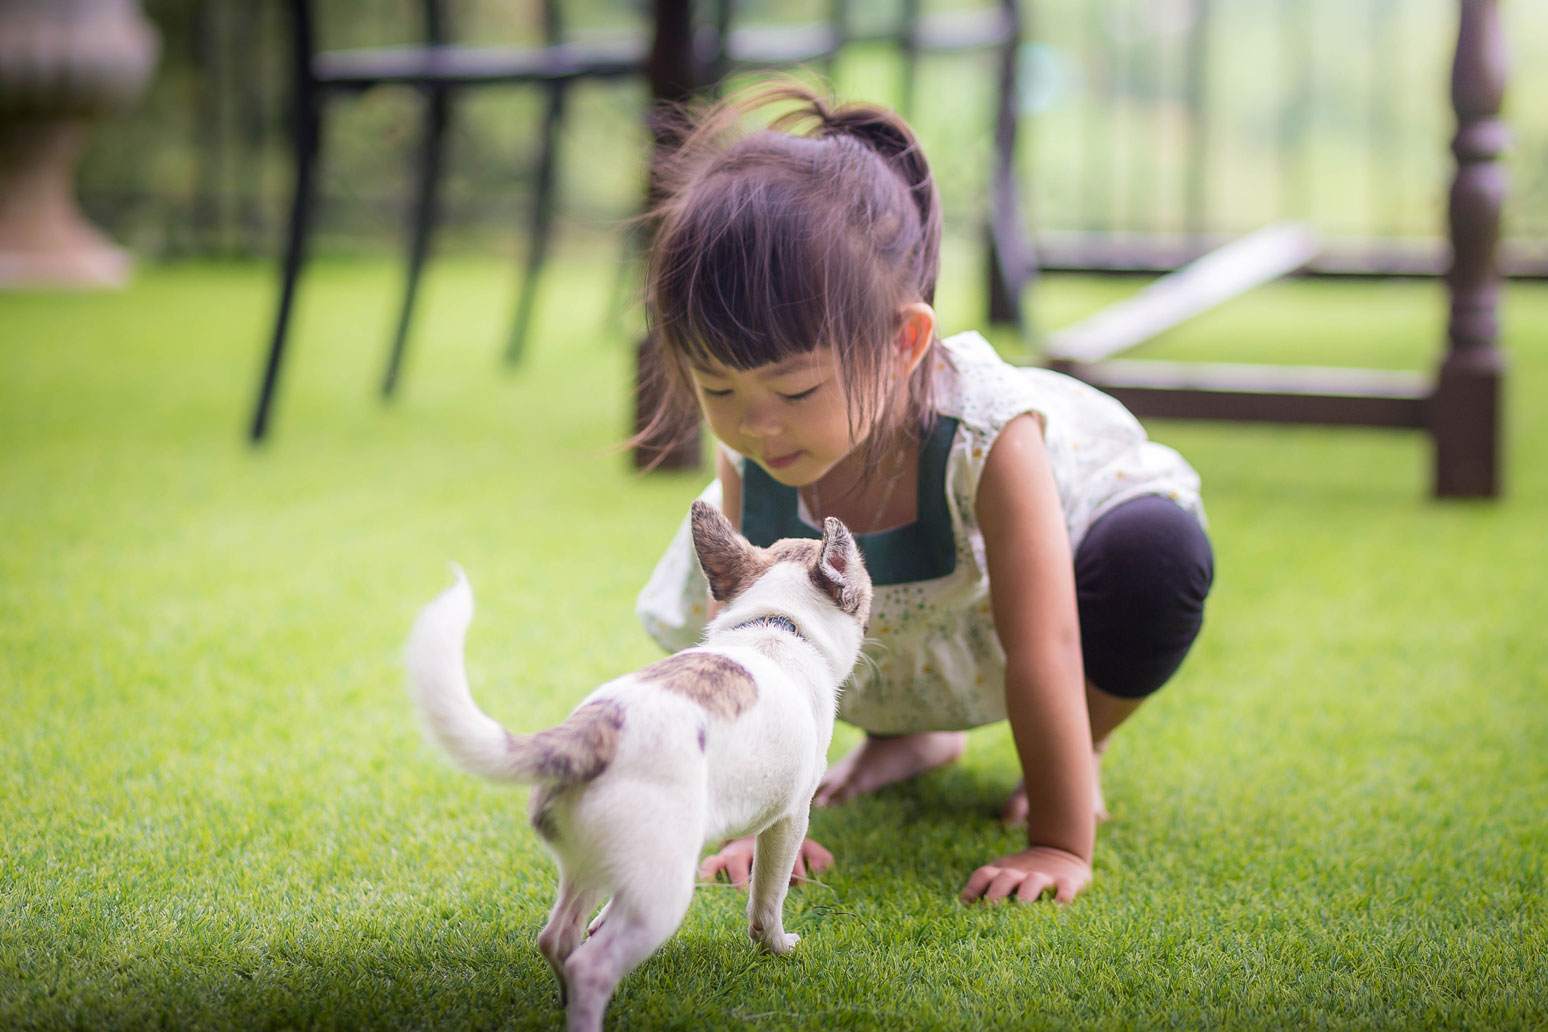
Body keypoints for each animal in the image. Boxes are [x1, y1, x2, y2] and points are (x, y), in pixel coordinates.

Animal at [408, 501, 873, 1032]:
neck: (775, 624)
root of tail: (593, 732)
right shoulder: (789, 821)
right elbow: (767, 897)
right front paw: (777, 947)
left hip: (593, 862)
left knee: (558, 938)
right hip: (663, 897)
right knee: (591, 965)